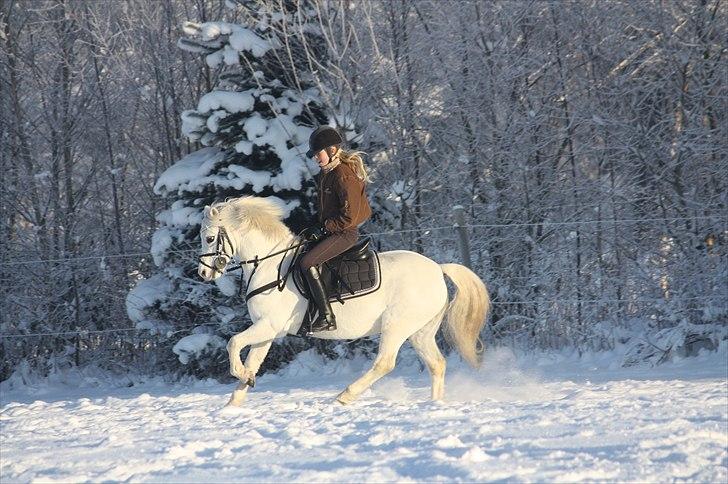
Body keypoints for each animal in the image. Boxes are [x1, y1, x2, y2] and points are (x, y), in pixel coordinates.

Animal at [198, 196, 490, 404]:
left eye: (210, 238)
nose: (203, 273)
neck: (271, 265)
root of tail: (438, 269)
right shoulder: (267, 330)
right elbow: (252, 362)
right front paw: (236, 399)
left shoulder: (268, 325)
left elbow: (233, 343)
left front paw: (241, 378)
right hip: (421, 332)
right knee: (437, 364)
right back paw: (434, 404)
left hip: (396, 327)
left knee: (385, 362)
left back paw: (344, 396)